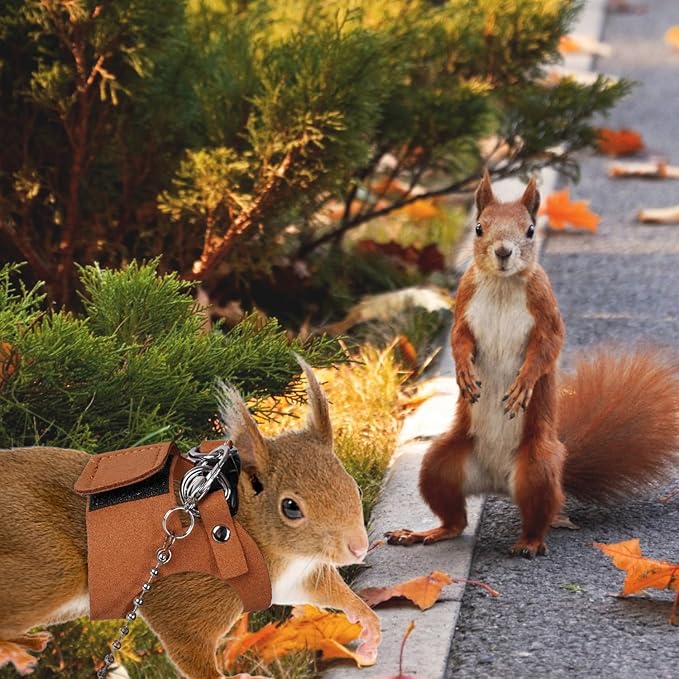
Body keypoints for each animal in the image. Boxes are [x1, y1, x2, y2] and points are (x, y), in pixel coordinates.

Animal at [0, 359, 380, 679]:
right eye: (291, 507)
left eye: (355, 487)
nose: (358, 548)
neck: (237, 524)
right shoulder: (187, 597)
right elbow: (191, 651)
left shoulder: (293, 576)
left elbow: (323, 590)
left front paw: (367, 621)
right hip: (47, 568)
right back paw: (15, 650)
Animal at [387, 170, 679, 557]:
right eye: (479, 227)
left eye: (529, 230)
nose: (503, 251)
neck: (501, 284)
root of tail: (496, 483)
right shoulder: (463, 307)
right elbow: (458, 340)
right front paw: (464, 373)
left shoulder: (546, 313)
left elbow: (547, 349)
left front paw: (523, 384)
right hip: (439, 463)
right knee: (455, 520)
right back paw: (425, 533)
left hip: (537, 467)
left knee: (539, 513)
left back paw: (529, 542)